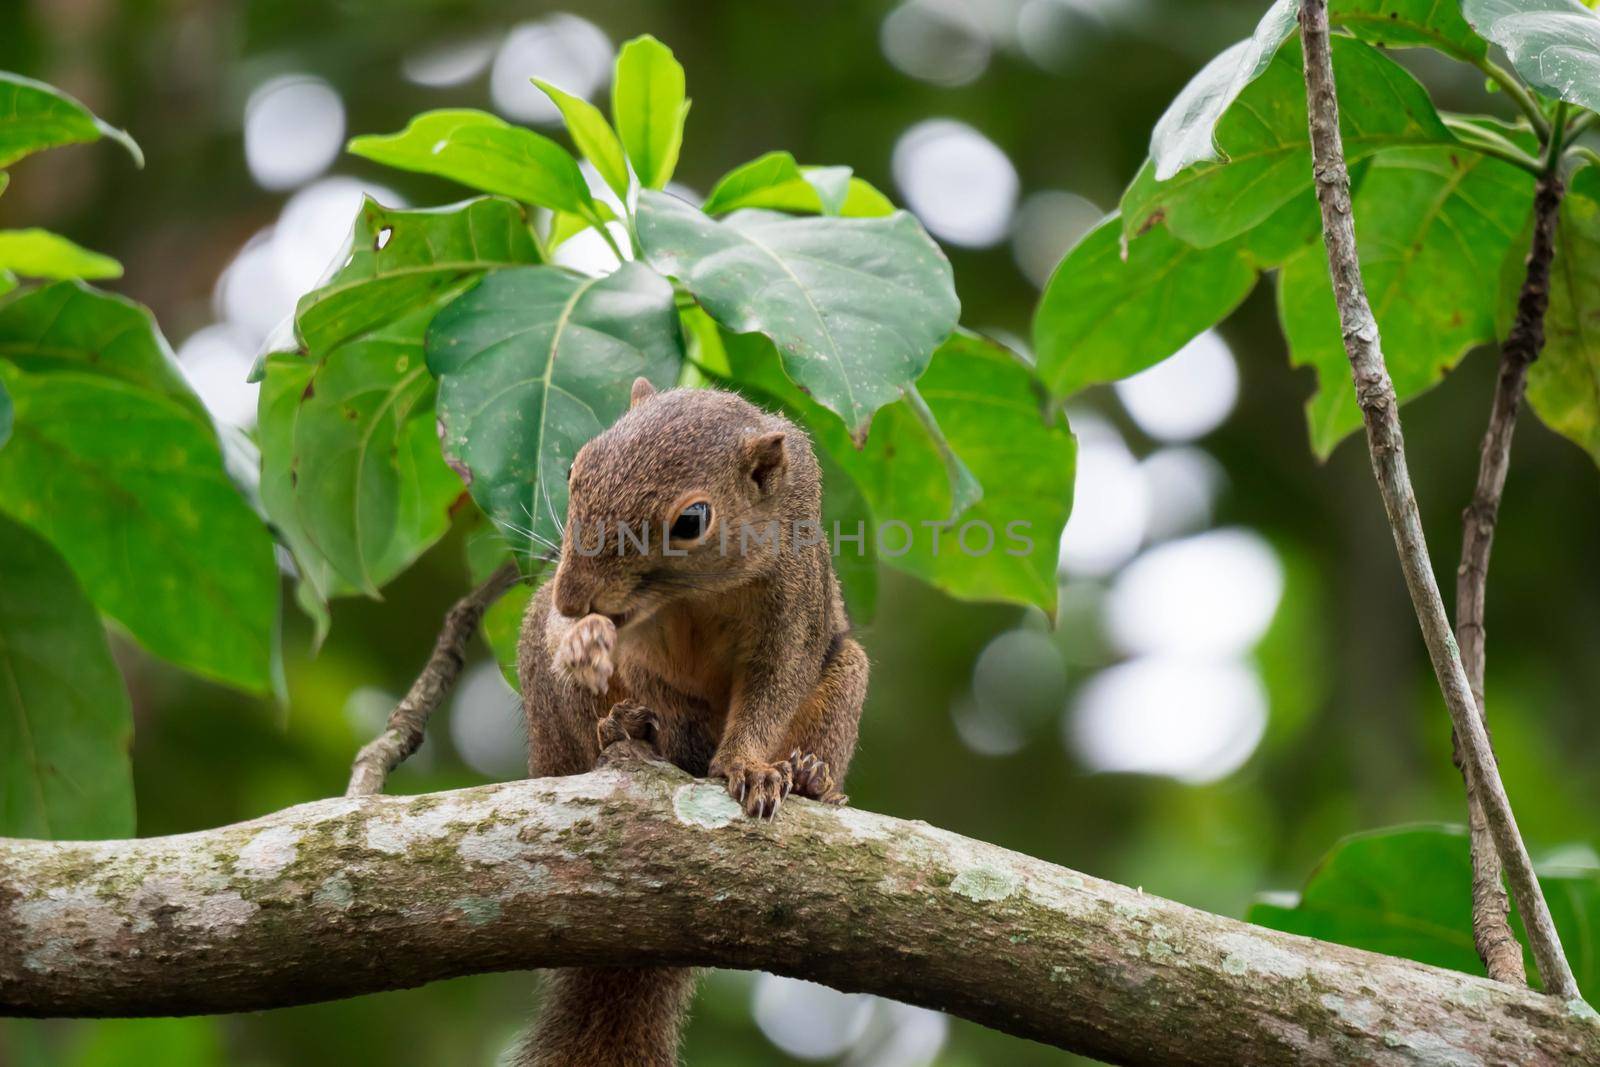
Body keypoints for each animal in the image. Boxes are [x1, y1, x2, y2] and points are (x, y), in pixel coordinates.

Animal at [512, 379, 870, 1062]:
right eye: (574, 468)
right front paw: (582, 643)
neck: (692, 599)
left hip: (847, 674)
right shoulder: (641, 653)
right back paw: (625, 729)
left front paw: (747, 768)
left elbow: (773, 685)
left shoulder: (794, 604)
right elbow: (643, 676)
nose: (572, 596)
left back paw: (811, 779)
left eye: (691, 522)